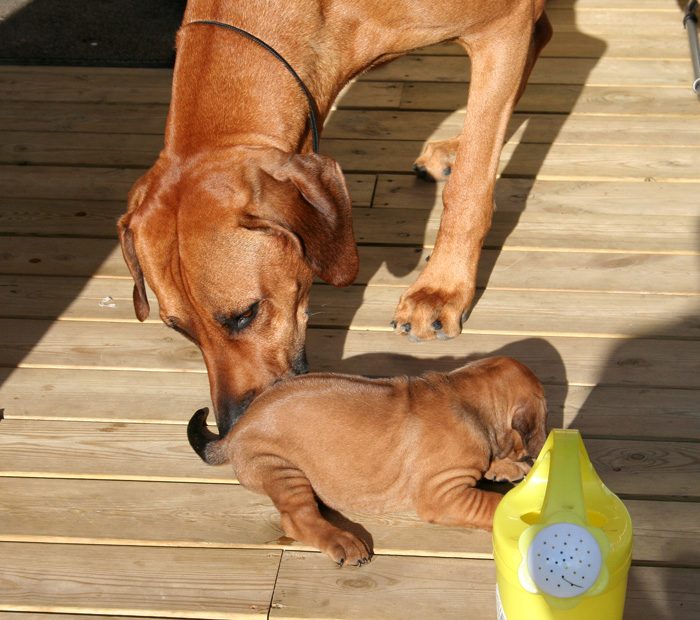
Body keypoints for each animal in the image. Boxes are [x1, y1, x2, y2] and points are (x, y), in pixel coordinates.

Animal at [117, 0, 552, 434]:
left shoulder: (504, 22)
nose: (231, 426)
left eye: (245, 314)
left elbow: (470, 185)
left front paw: (442, 288)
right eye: (181, 330)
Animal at [187, 358, 548, 568]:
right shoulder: (442, 494)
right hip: (280, 468)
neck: (465, 397)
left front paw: (505, 467)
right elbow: (490, 503)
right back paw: (343, 541)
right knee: (298, 518)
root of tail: (234, 433)